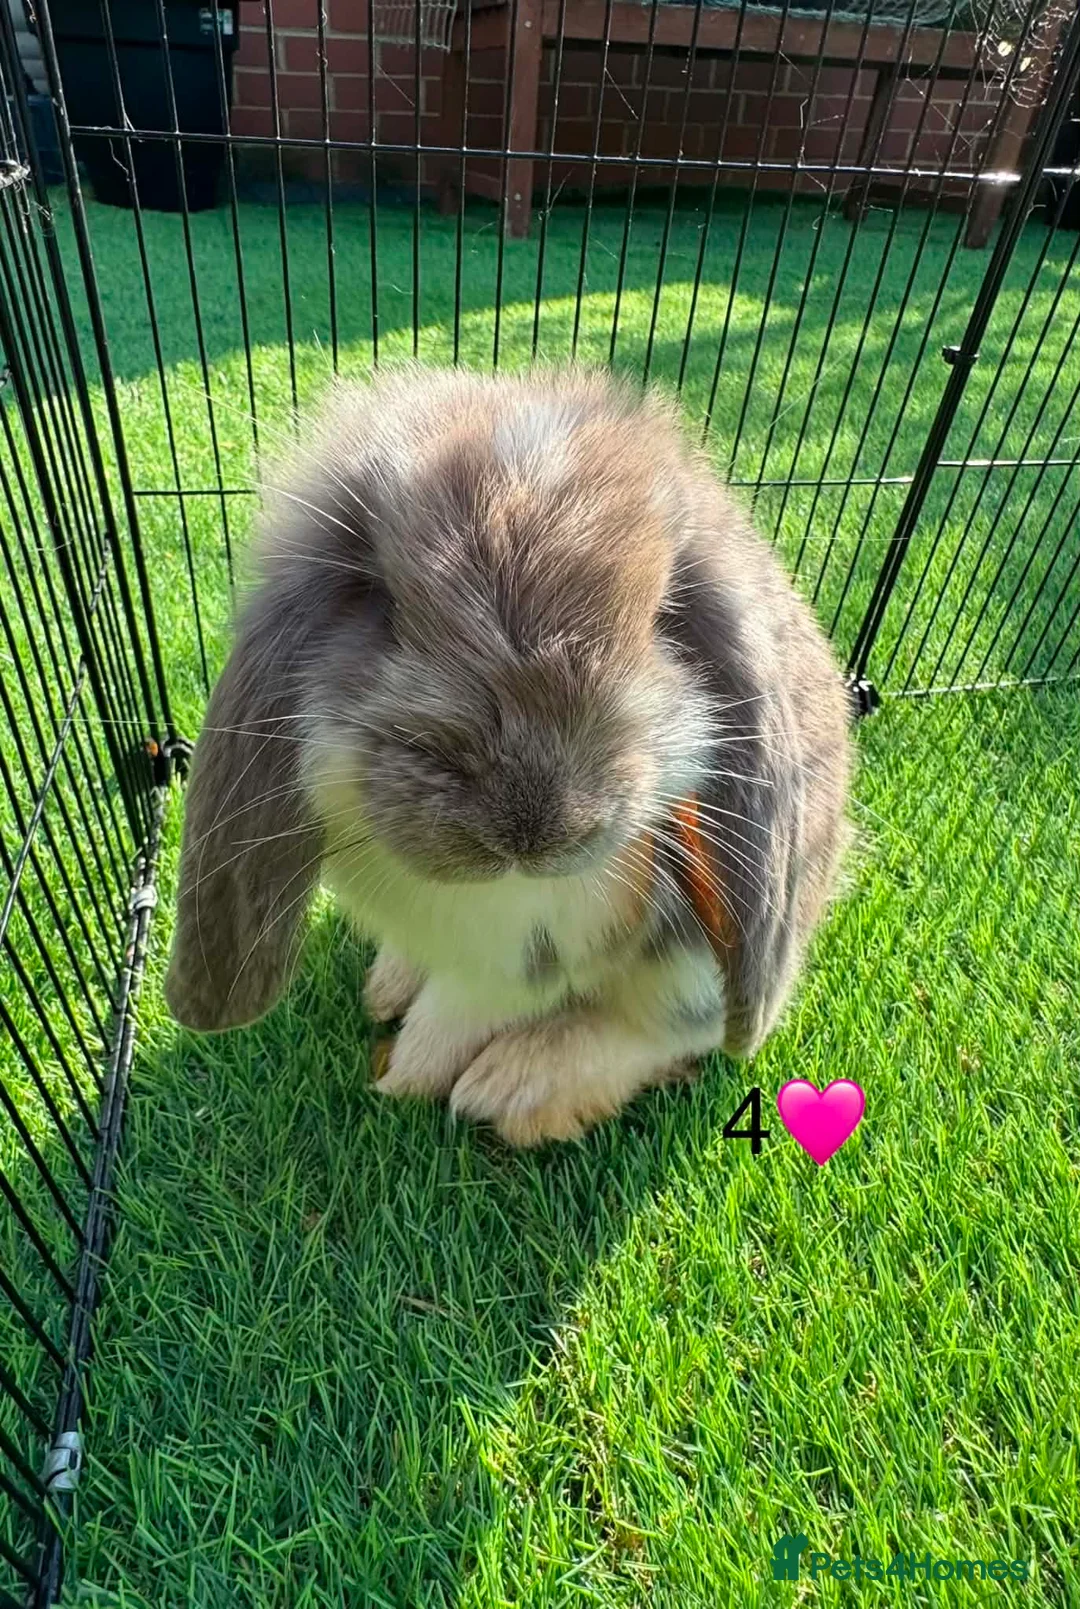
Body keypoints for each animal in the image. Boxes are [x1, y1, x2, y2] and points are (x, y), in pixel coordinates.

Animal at [165, 365, 851, 1147]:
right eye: (379, 600)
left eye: (663, 618)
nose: (533, 828)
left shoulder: (555, 947)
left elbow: (475, 1001)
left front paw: (409, 1072)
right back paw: (392, 984)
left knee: (674, 1032)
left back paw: (513, 1086)